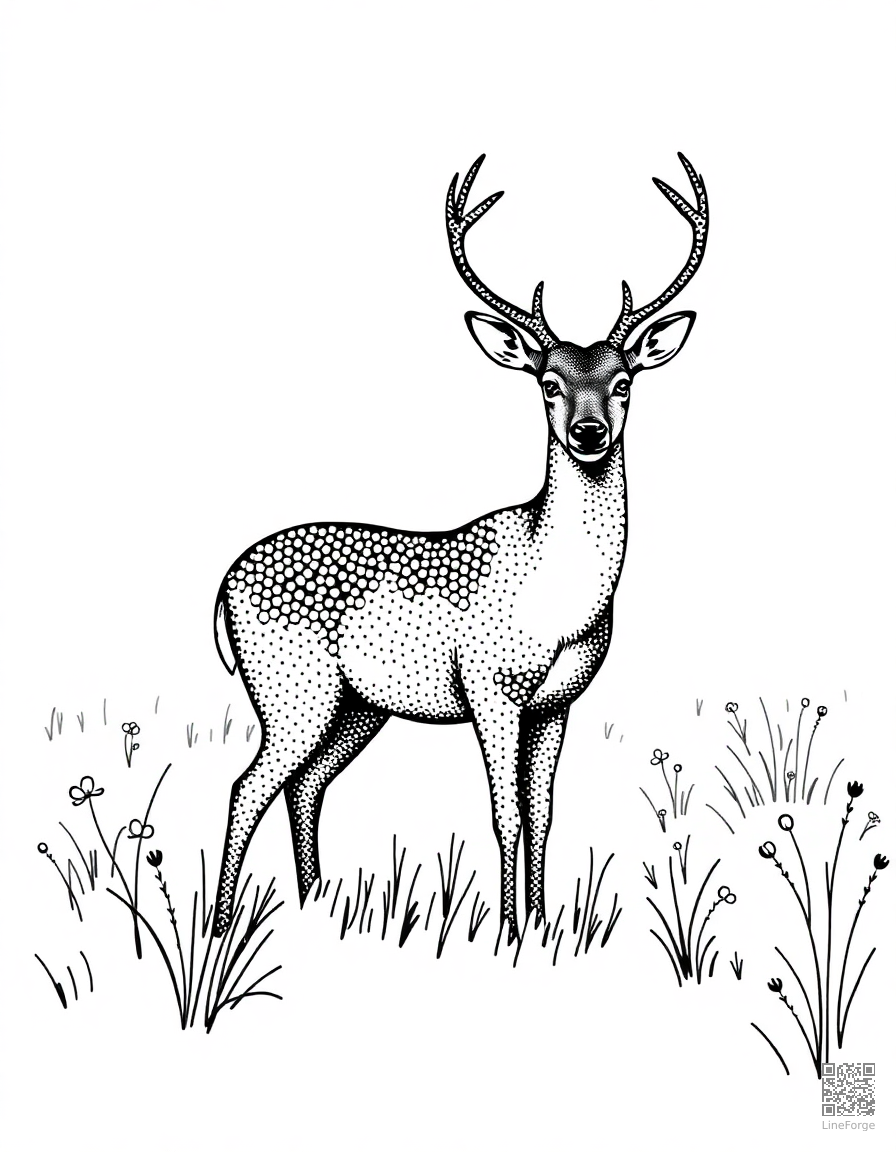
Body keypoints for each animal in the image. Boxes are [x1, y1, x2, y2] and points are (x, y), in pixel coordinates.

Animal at [212, 153, 708, 941]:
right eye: (548, 383)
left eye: (624, 380)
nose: (590, 432)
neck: (557, 595)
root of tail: (220, 586)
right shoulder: (490, 684)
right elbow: (506, 817)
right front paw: (507, 935)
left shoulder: (555, 704)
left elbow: (543, 817)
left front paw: (542, 926)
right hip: (291, 687)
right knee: (246, 785)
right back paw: (223, 927)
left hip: (355, 707)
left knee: (304, 785)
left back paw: (315, 909)